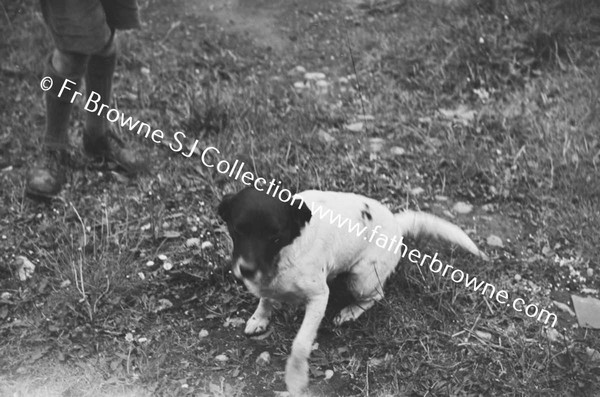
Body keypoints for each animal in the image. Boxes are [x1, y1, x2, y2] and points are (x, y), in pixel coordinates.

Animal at [218, 187, 490, 394]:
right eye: (237, 230)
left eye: (275, 236)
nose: (246, 270)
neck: (284, 254)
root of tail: (396, 224)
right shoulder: (265, 281)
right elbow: (265, 300)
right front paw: (260, 318)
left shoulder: (319, 297)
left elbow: (301, 344)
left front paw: (295, 378)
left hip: (361, 278)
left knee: (376, 295)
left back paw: (351, 310)